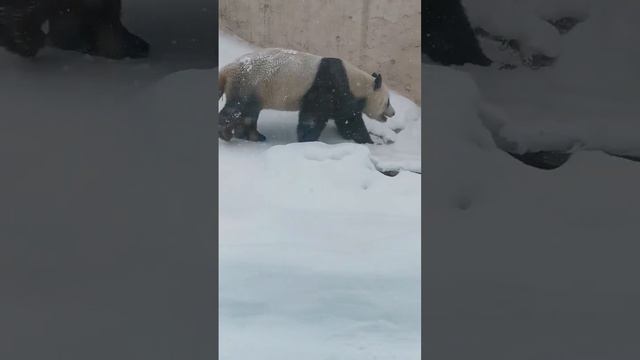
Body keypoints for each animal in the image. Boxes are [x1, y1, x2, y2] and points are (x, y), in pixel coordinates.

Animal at [218, 47, 392, 143]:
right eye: (388, 102)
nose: (393, 112)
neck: (357, 82)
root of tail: (227, 70)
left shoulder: (343, 97)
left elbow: (346, 120)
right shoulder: (328, 85)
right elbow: (315, 116)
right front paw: (308, 140)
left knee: (249, 114)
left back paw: (252, 136)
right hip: (249, 83)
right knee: (237, 109)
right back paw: (225, 133)